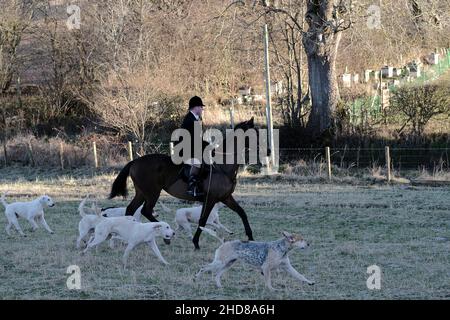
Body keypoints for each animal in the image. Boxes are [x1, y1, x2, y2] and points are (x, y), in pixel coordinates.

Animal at [109, 119, 255, 249]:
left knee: (131, 209)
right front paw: (196, 242)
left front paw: (251, 237)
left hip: (141, 192)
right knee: (146, 210)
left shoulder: (226, 197)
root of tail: (135, 162)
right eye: (253, 134)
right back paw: (166, 236)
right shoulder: (211, 198)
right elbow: (203, 220)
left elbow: (242, 213)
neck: (222, 166)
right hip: (152, 193)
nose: (262, 149)